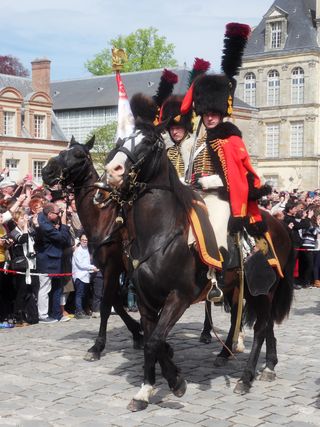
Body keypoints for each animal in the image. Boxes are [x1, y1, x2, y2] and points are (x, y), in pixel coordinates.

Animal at [41, 137, 142, 362]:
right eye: (62, 151)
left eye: (79, 155)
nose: (47, 171)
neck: (103, 218)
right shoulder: (106, 269)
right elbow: (114, 301)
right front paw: (137, 331)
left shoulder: (113, 267)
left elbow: (106, 305)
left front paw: (97, 346)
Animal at [105, 123, 296, 412]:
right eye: (120, 140)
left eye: (148, 141)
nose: (112, 171)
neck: (160, 233)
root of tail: (279, 224)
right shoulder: (145, 300)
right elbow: (154, 341)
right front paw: (147, 389)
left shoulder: (179, 297)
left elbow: (155, 341)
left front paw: (175, 384)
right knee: (265, 325)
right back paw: (267, 366)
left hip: (263, 290)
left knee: (262, 328)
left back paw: (246, 378)